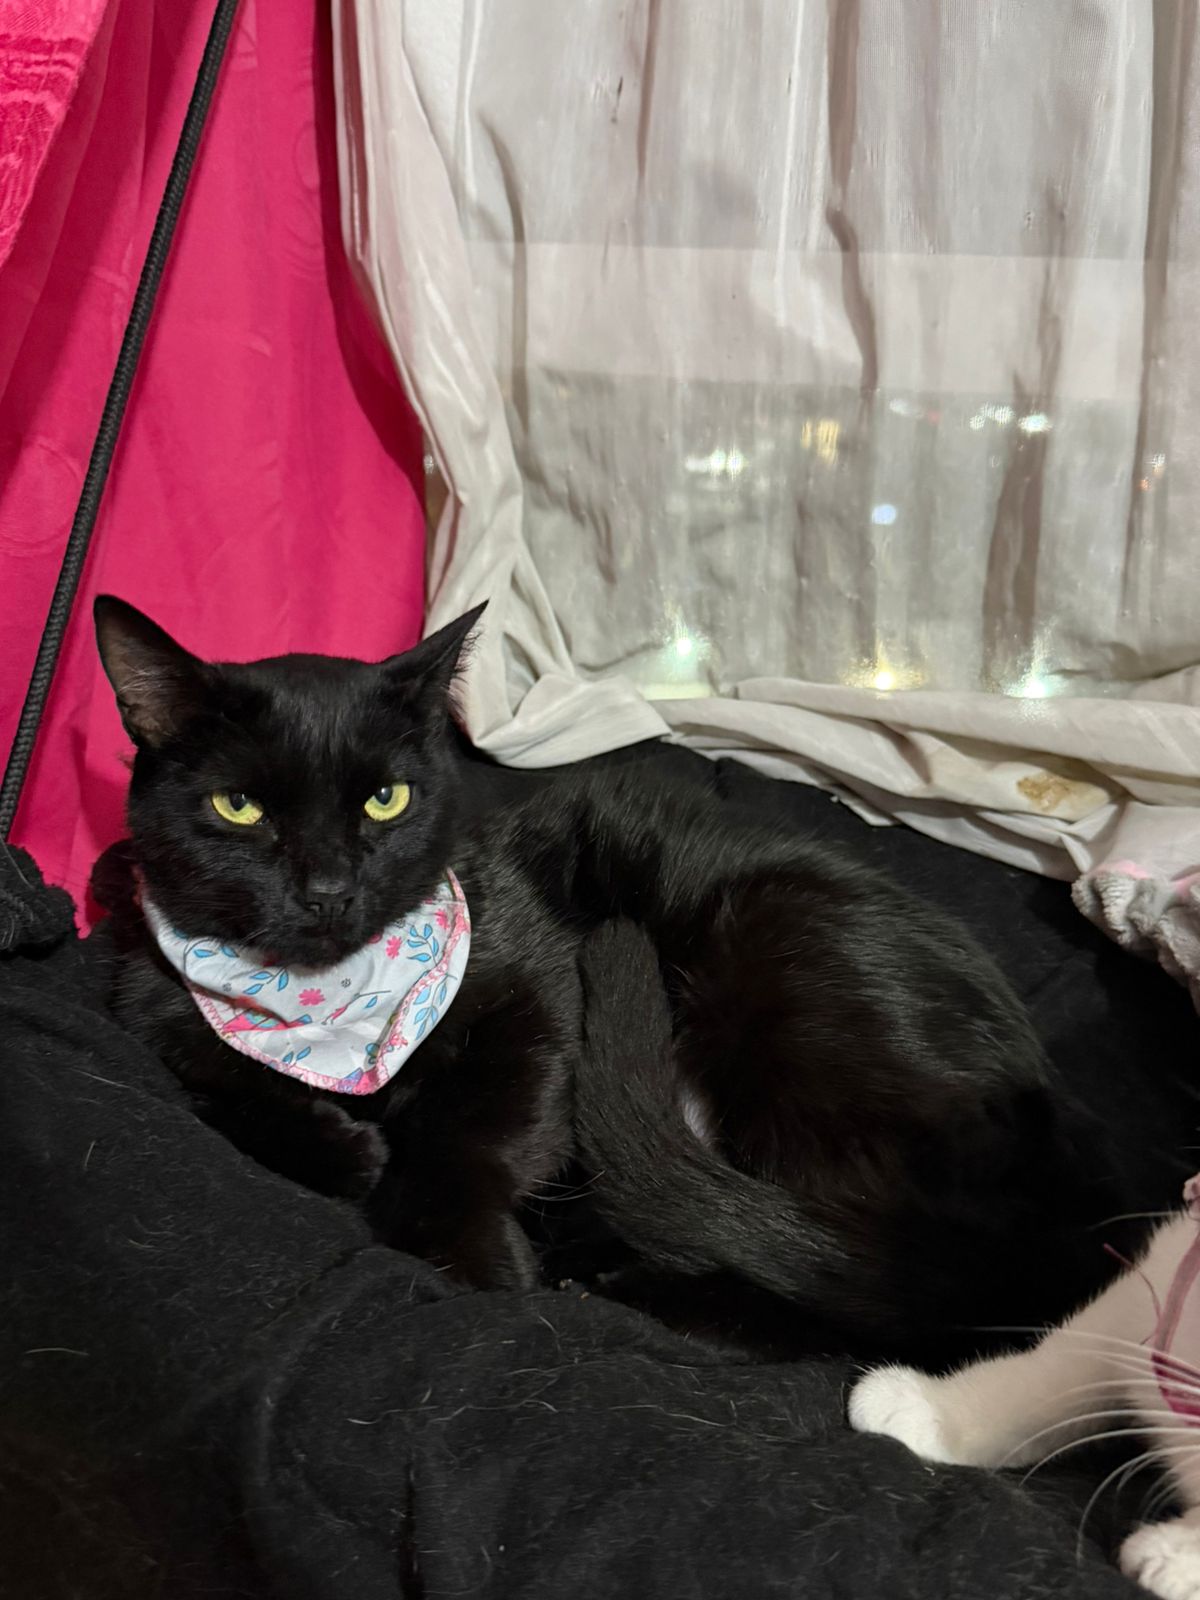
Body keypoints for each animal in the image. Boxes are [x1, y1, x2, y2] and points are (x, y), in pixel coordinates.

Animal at [91, 593, 1105, 1358]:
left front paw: (467, 1259)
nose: (330, 889)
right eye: (240, 807)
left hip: (778, 972)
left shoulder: (540, 990)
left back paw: (623, 1291)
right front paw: (341, 1150)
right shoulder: (155, 1009)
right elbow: (215, 1086)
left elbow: (478, 1128)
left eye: (386, 799)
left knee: (868, 1296)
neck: (329, 1010)